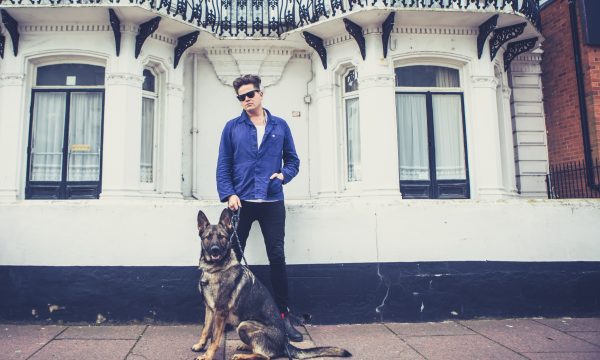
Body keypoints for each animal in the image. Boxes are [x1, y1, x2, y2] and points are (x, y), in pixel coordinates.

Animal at [192, 208, 352, 360]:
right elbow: (205, 330)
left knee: (265, 355)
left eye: (222, 237)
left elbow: (214, 338)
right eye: (208, 237)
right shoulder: (209, 309)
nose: (215, 250)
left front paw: (208, 356)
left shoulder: (220, 312)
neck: (214, 269)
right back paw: (245, 346)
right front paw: (200, 345)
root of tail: (285, 343)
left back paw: (242, 355)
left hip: (244, 325)